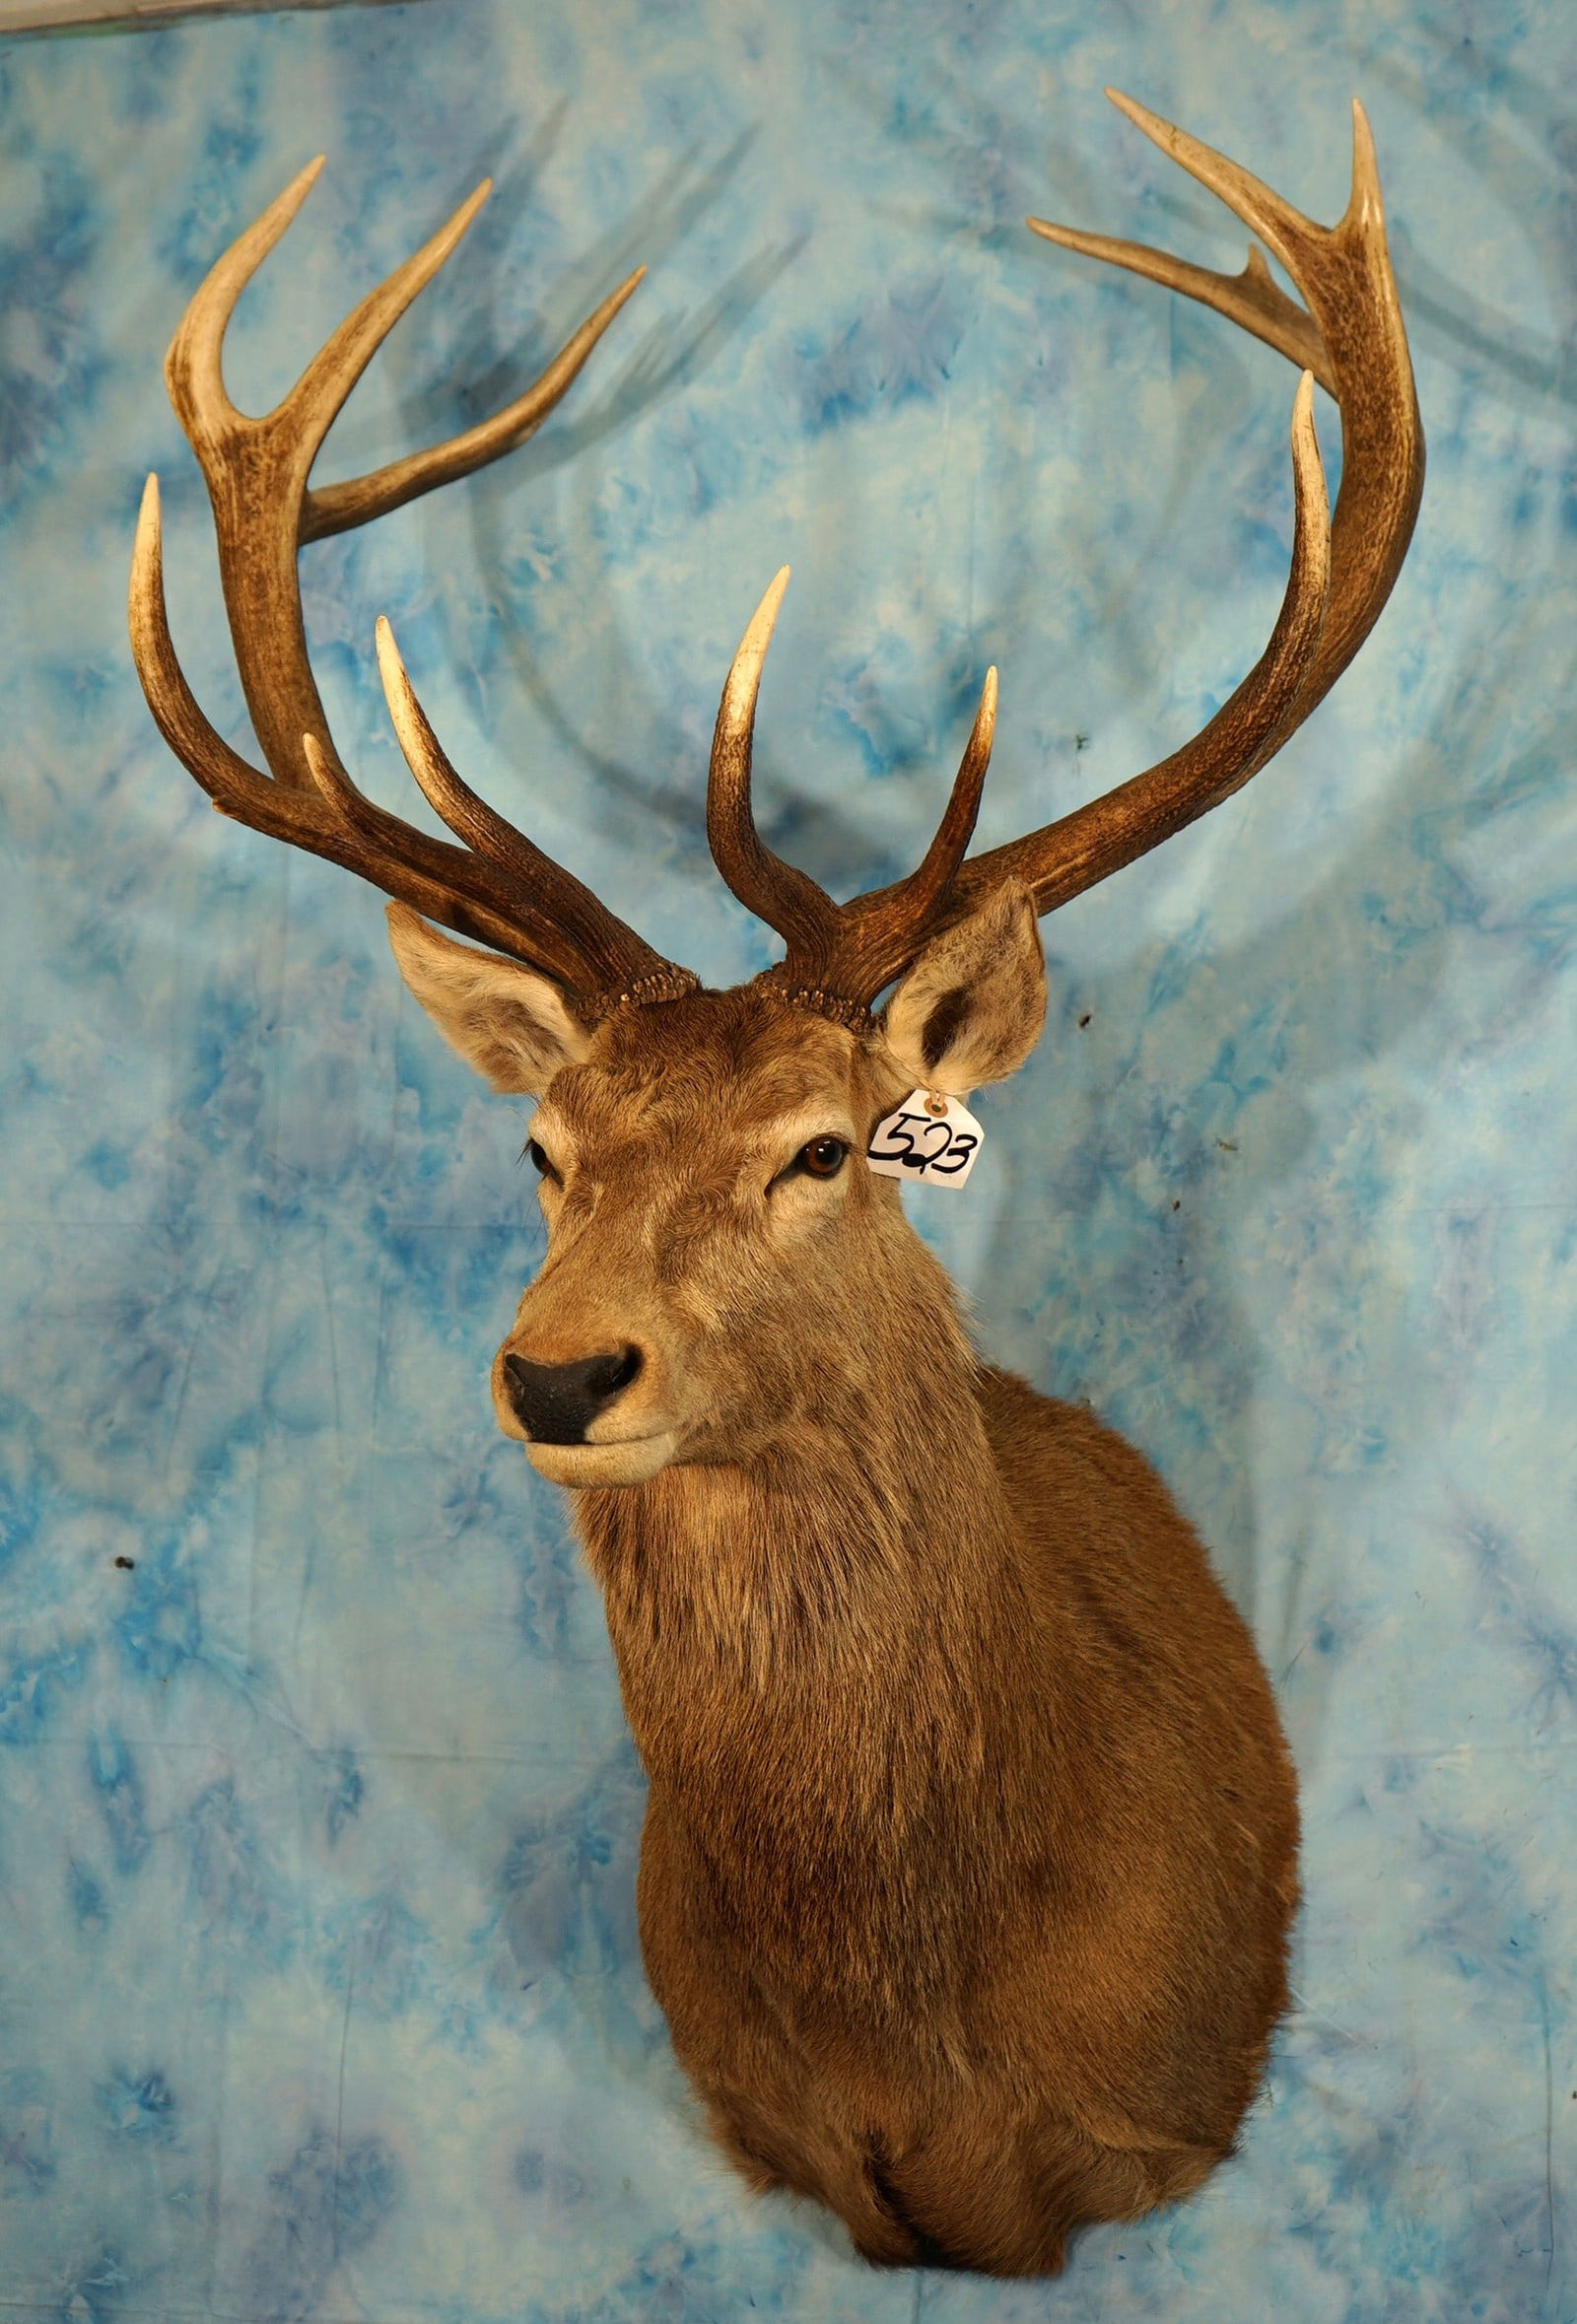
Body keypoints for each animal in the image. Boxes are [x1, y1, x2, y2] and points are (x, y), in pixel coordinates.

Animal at [129, 92, 1422, 2278]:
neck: (921, 2005)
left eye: (821, 1147)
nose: (561, 1373)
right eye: (543, 1147)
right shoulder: (781, 2144)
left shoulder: (1144, 2132)